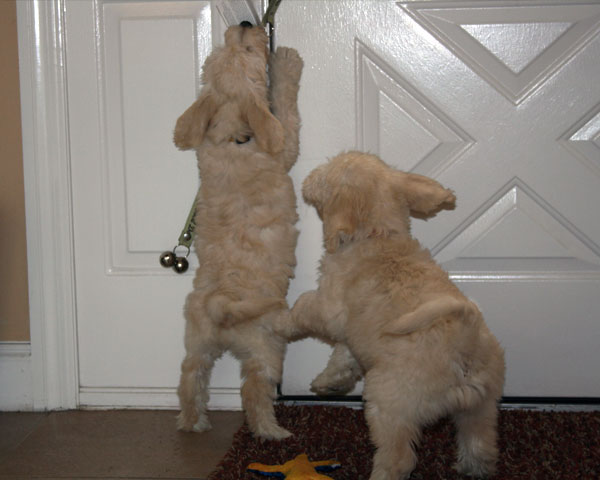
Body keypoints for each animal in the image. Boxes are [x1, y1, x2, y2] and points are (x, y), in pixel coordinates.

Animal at [173, 24, 304, 440]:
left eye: (229, 44)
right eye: (248, 50)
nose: (245, 24)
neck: (231, 129)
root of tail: (223, 305)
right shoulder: (285, 145)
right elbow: (286, 112)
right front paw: (286, 63)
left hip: (197, 340)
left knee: (190, 377)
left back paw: (193, 422)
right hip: (267, 347)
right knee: (254, 389)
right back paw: (272, 431)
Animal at [288, 151, 504, 480]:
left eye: (328, 172)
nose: (310, 176)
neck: (378, 235)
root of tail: (465, 341)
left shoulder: (329, 308)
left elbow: (303, 306)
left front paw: (281, 319)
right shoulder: (351, 334)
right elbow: (341, 358)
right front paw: (329, 383)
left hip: (389, 403)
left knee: (399, 458)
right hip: (481, 407)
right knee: (481, 444)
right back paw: (473, 470)